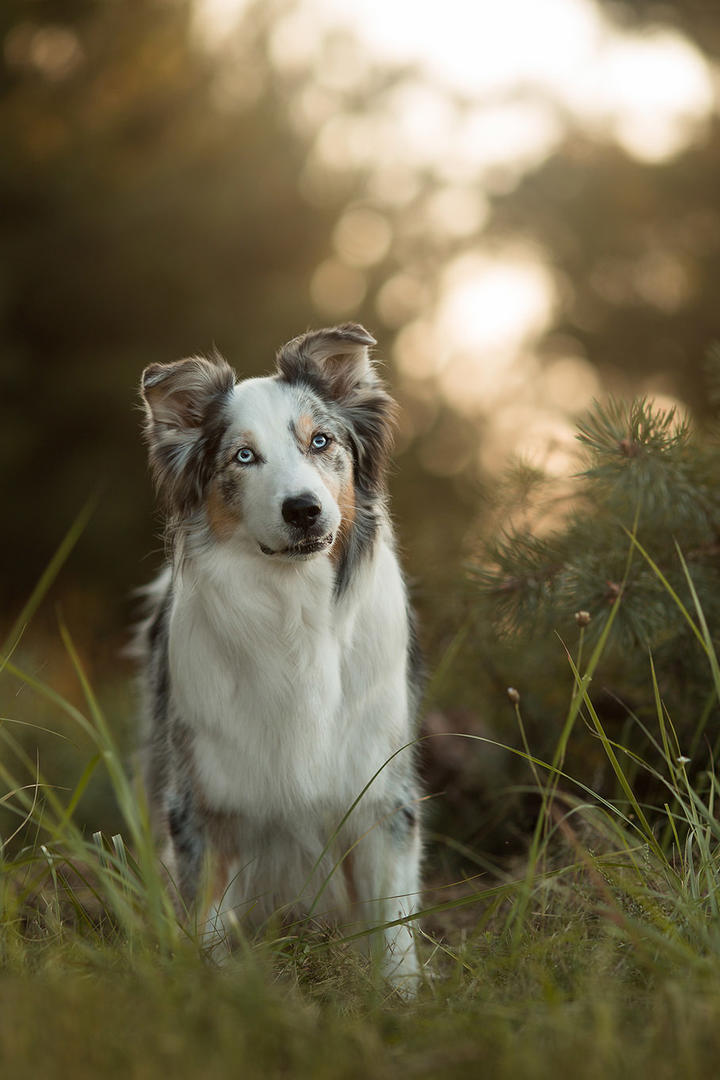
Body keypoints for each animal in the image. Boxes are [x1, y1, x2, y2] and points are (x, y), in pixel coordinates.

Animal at [136, 324, 423, 989]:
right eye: (243, 457)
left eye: (320, 441)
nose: (303, 509)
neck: (295, 611)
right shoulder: (204, 804)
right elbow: (208, 924)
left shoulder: (380, 794)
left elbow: (394, 929)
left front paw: (403, 1000)